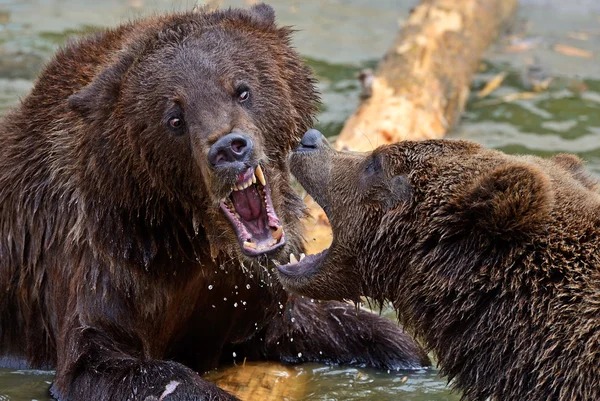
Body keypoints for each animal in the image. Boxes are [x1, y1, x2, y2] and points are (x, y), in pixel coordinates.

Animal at [0, 3, 432, 400]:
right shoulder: (105, 261)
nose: (229, 148)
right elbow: (106, 363)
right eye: (174, 117)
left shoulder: (245, 288)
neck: (193, 240)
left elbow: (316, 320)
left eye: (242, 89)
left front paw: (408, 352)